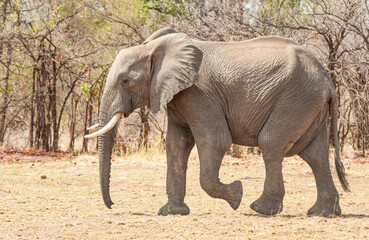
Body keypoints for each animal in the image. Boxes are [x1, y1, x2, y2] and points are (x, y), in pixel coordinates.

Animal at [85, 27, 348, 217]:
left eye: (125, 81)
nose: (112, 205)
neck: (153, 49)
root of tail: (328, 80)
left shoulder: (200, 94)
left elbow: (215, 141)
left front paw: (237, 195)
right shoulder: (179, 98)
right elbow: (176, 146)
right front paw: (171, 212)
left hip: (296, 98)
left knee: (271, 142)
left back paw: (260, 209)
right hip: (308, 103)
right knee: (314, 154)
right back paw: (323, 213)